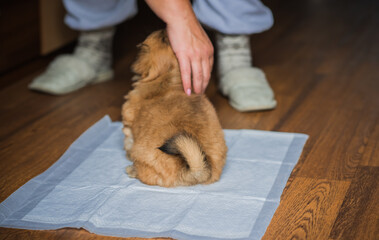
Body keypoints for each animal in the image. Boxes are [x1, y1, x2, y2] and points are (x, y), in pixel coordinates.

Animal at [123, 30, 227, 188]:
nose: (164, 29)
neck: (167, 79)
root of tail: (194, 172)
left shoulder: (128, 124)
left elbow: (128, 140)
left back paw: (132, 169)